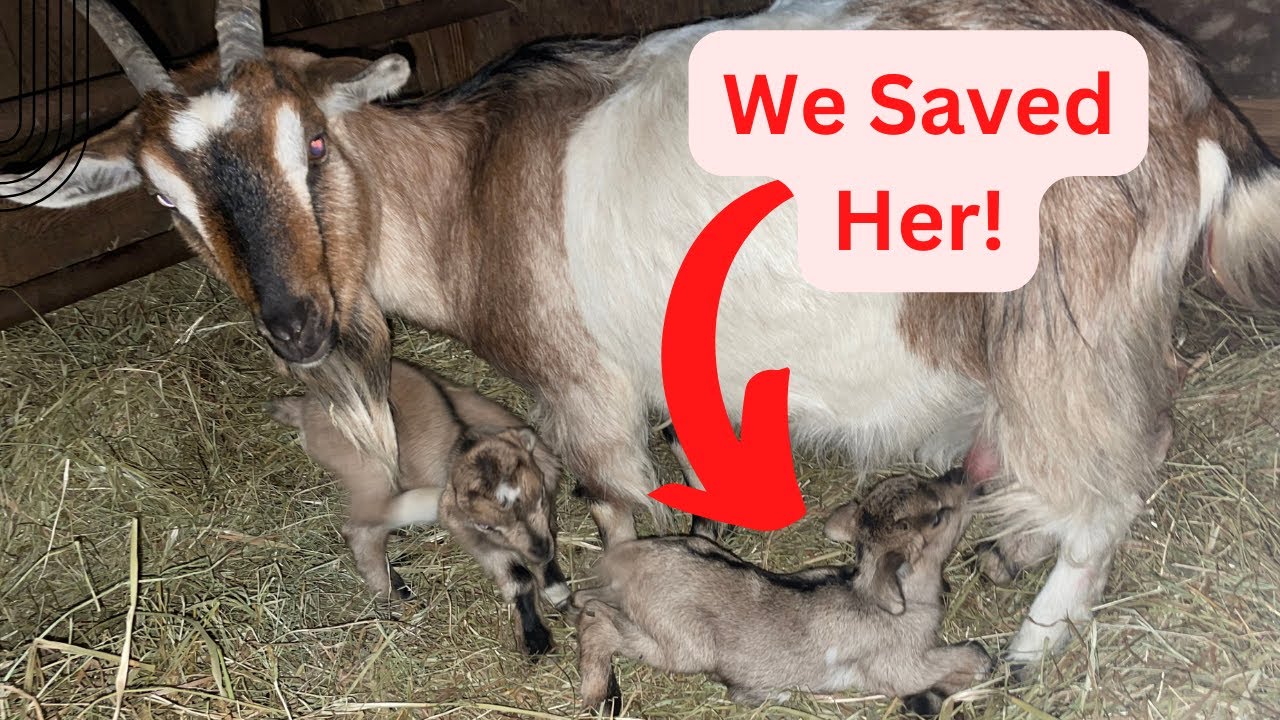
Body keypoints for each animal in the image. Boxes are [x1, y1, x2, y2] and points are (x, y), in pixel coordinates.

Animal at [269, 358, 569, 657]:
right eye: (487, 525)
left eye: (540, 497)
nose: (540, 551)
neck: (464, 441)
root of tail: (304, 407)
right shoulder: (466, 528)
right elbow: (517, 575)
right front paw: (537, 640)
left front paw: (557, 591)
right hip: (370, 473)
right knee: (360, 528)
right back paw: (394, 594)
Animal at [572, 470, 989, 716]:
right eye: (938, 517)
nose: (964, 475)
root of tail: (633, 559)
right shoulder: (899, 665)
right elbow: (968, 658)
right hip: (682, 645)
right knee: (596, 621)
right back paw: (596, 697)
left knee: (585, 600)